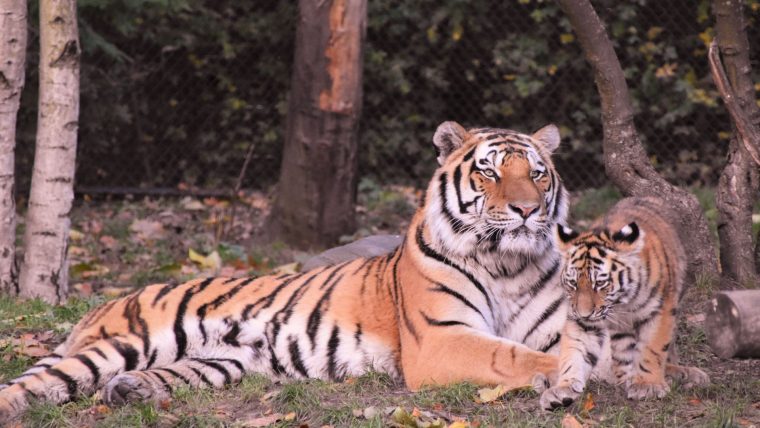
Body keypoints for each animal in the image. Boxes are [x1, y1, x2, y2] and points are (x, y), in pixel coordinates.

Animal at [0, 121, 568, 422]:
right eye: (488, 171)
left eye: (538, 174)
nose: (525, 210)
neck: (506, 264)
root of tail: (102, 305)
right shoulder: (441, 340)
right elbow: (512, 355)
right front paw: (563, 378)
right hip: (127, 341)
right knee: (40, 384)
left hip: (220, 362)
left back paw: (129, 392)